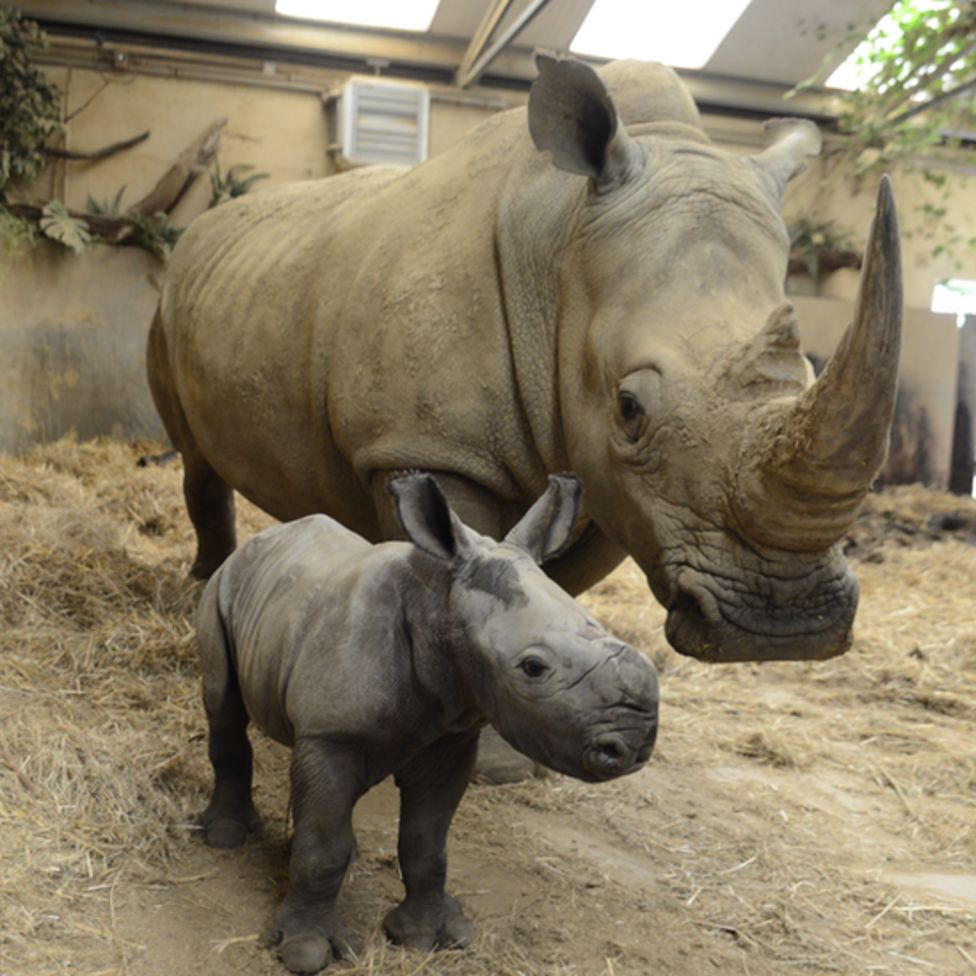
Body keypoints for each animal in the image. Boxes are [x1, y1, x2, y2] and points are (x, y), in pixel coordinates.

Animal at [149, 53, 904, 664]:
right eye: (629, 409)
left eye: (809, 374)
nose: (782, 628)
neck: (560, 245)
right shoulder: (426, 446)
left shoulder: (610, 485)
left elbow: (546, 579)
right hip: (168, 301)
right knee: (196, 459)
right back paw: (202, 590)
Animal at [194, 472, 660, 968]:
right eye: (533, 668)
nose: (635, 742)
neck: (439, 605)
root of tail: (263, 539)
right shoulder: (331, 737)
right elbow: (322, 848)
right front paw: (308, 950)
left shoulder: (450, 741)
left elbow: (427, 844)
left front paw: (429, 936)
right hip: (223, 589)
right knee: (223, 706)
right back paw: (225, 837)